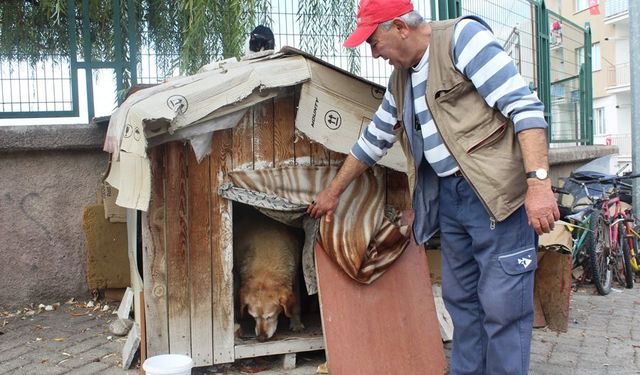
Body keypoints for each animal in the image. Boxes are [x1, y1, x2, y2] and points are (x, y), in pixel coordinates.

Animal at [234, 204, 306, 342]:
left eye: (270, 316)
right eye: (254, 317)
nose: (261, 338)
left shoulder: (295, 278)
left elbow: (296, 304)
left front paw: (296, 323)